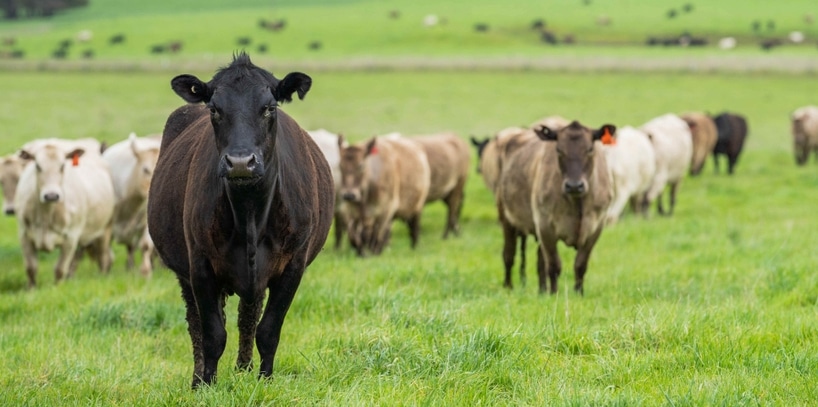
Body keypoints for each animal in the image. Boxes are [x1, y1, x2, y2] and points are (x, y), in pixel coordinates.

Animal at [14, 141, 115, 288]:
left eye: (62, 166)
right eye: (37, 166)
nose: (51, 195)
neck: (46, 216)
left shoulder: (70, 237)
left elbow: (60, 269)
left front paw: (57, 288)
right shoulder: (24, 235)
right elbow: (31, 267)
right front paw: (31, 289)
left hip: (105, 229)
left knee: (103, 257)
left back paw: (102, 277)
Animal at [147, 53, 334, 388]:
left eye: (270, 107)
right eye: (214, 108)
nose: (240, 162)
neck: (249, 213)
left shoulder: (293, 265)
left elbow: (268, 330)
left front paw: (265, 380)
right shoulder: (200, 264)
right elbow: (211, 333)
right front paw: (206, 385)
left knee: (248, 315)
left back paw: (245, 368)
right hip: (186, 271)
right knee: (196, 323)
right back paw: (199, 376)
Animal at [497, 121, 615, 294]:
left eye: (590, 149)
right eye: (559, 150)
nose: (574, 185)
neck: (577, 203)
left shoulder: (596, 227)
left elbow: (580, 264)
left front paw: (579, 293)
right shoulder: (545, 226)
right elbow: (553, 265)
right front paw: (554, 293)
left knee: (540, 261)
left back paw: (541, 291)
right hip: (507, 218)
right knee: (509, 254)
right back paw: (509, 287)